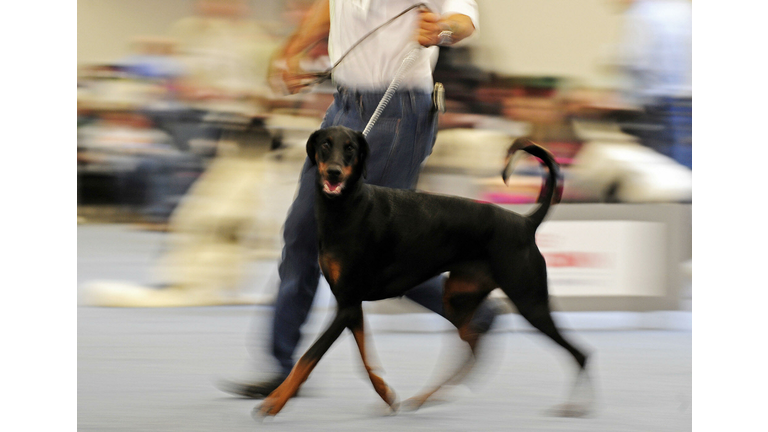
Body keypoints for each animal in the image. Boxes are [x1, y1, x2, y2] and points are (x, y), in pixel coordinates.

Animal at [258, 125, 592, 418]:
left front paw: (274, 402)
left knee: (580, 353)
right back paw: (426, 398)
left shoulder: (348, 304)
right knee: (474, 343)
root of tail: (526, 223)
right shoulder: (349, 305)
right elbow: (364, 358)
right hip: (458, 297)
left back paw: (574, 407)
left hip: (530, 302)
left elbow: (309, 357)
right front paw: (386, 394)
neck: (346, 208)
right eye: (326, 144)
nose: (334, 172)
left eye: (350, 148)